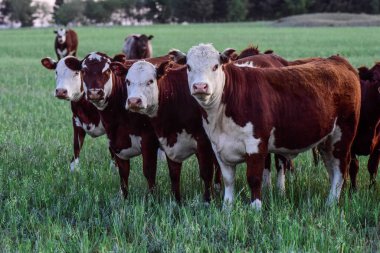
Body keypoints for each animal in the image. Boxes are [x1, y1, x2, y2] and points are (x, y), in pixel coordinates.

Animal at [108, 60, 221, 203]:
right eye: (128, 81)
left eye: (150, 81)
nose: (133, 101)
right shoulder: (169, 141)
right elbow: (174, 173)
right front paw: (177, 201)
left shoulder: (203, 141)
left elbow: (206, 172)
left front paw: (208, 200)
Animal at [174, 43, 360, 210]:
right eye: (188, 67)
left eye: (215, 66)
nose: (200, 86)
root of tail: (337, 60)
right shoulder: (218, 146)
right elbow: (228, 179)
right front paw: (227, 208)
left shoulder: (255, 145)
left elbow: (254, 178)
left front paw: (255, 209)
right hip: (326, 140)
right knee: (332, 167)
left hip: (343, 135)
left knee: (341, 168)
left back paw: (331, 203)